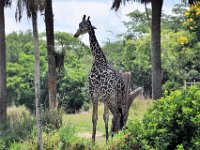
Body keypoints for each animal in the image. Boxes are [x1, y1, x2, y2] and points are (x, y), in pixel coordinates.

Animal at [73, 15, 126, 144]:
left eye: (81, 25)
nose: (75, 34)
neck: (97, 59)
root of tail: (120, 83)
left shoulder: (96, 92)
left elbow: (98, 116)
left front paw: (96, 141)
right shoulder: (99, 94)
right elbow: (100, 117)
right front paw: (100, 140)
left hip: (111, 97)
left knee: (117, 114)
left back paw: (113, 137)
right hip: (118, 97)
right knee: (120, 114)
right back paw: (117, 136)